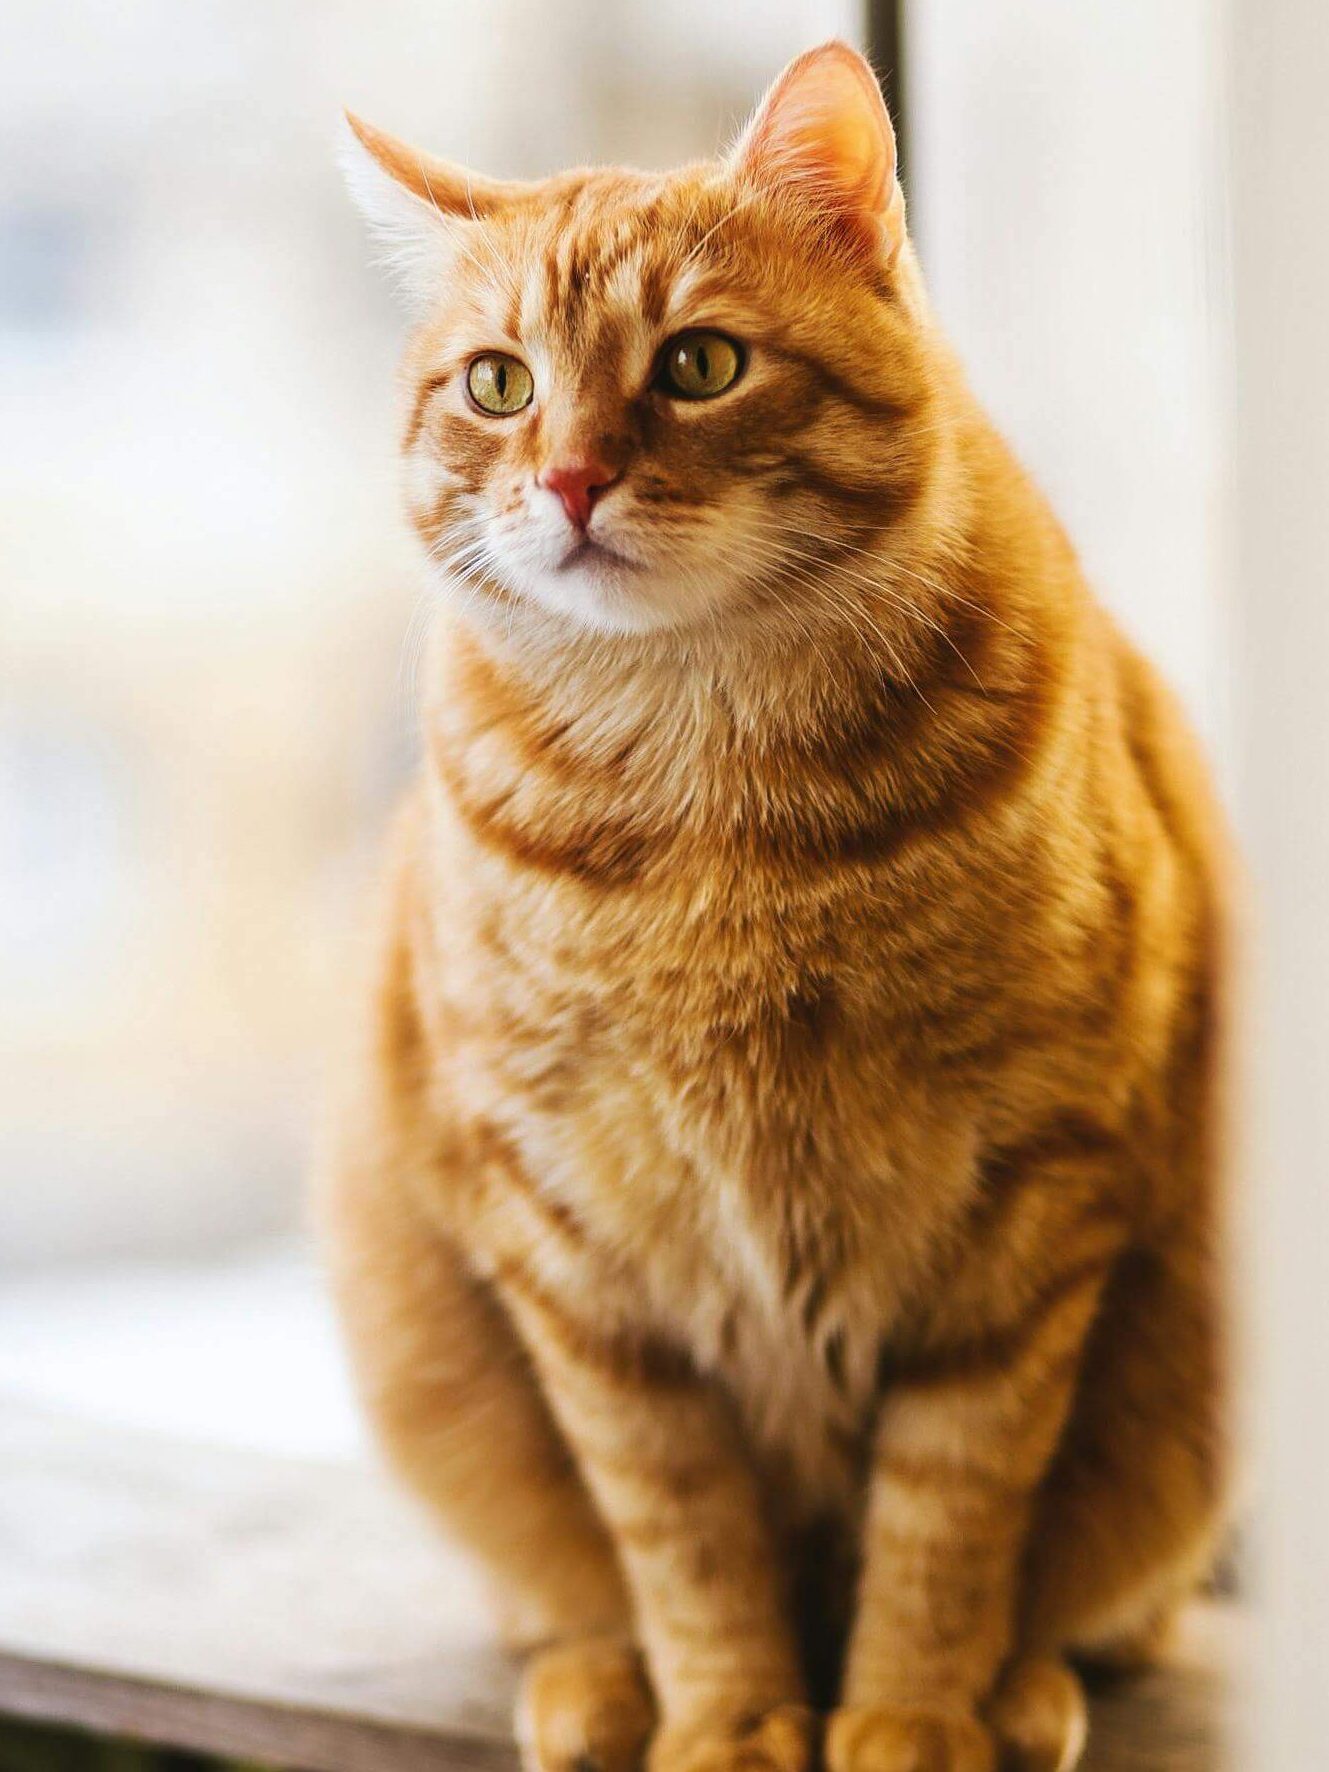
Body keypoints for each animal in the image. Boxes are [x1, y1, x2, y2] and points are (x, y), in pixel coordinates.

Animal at [326, 41, 1240, 1772]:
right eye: (498, 385)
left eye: (697, 365)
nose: (569, 478)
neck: (712, 806)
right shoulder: (574, 1248)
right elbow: (678, 1533)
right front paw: (731, 1720)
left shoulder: (1029, 1203)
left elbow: (950, 1511)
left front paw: (907, 1716)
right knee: (561, 1586)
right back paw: (595, 1687)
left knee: (1113, 1601)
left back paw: (1022, 1693)